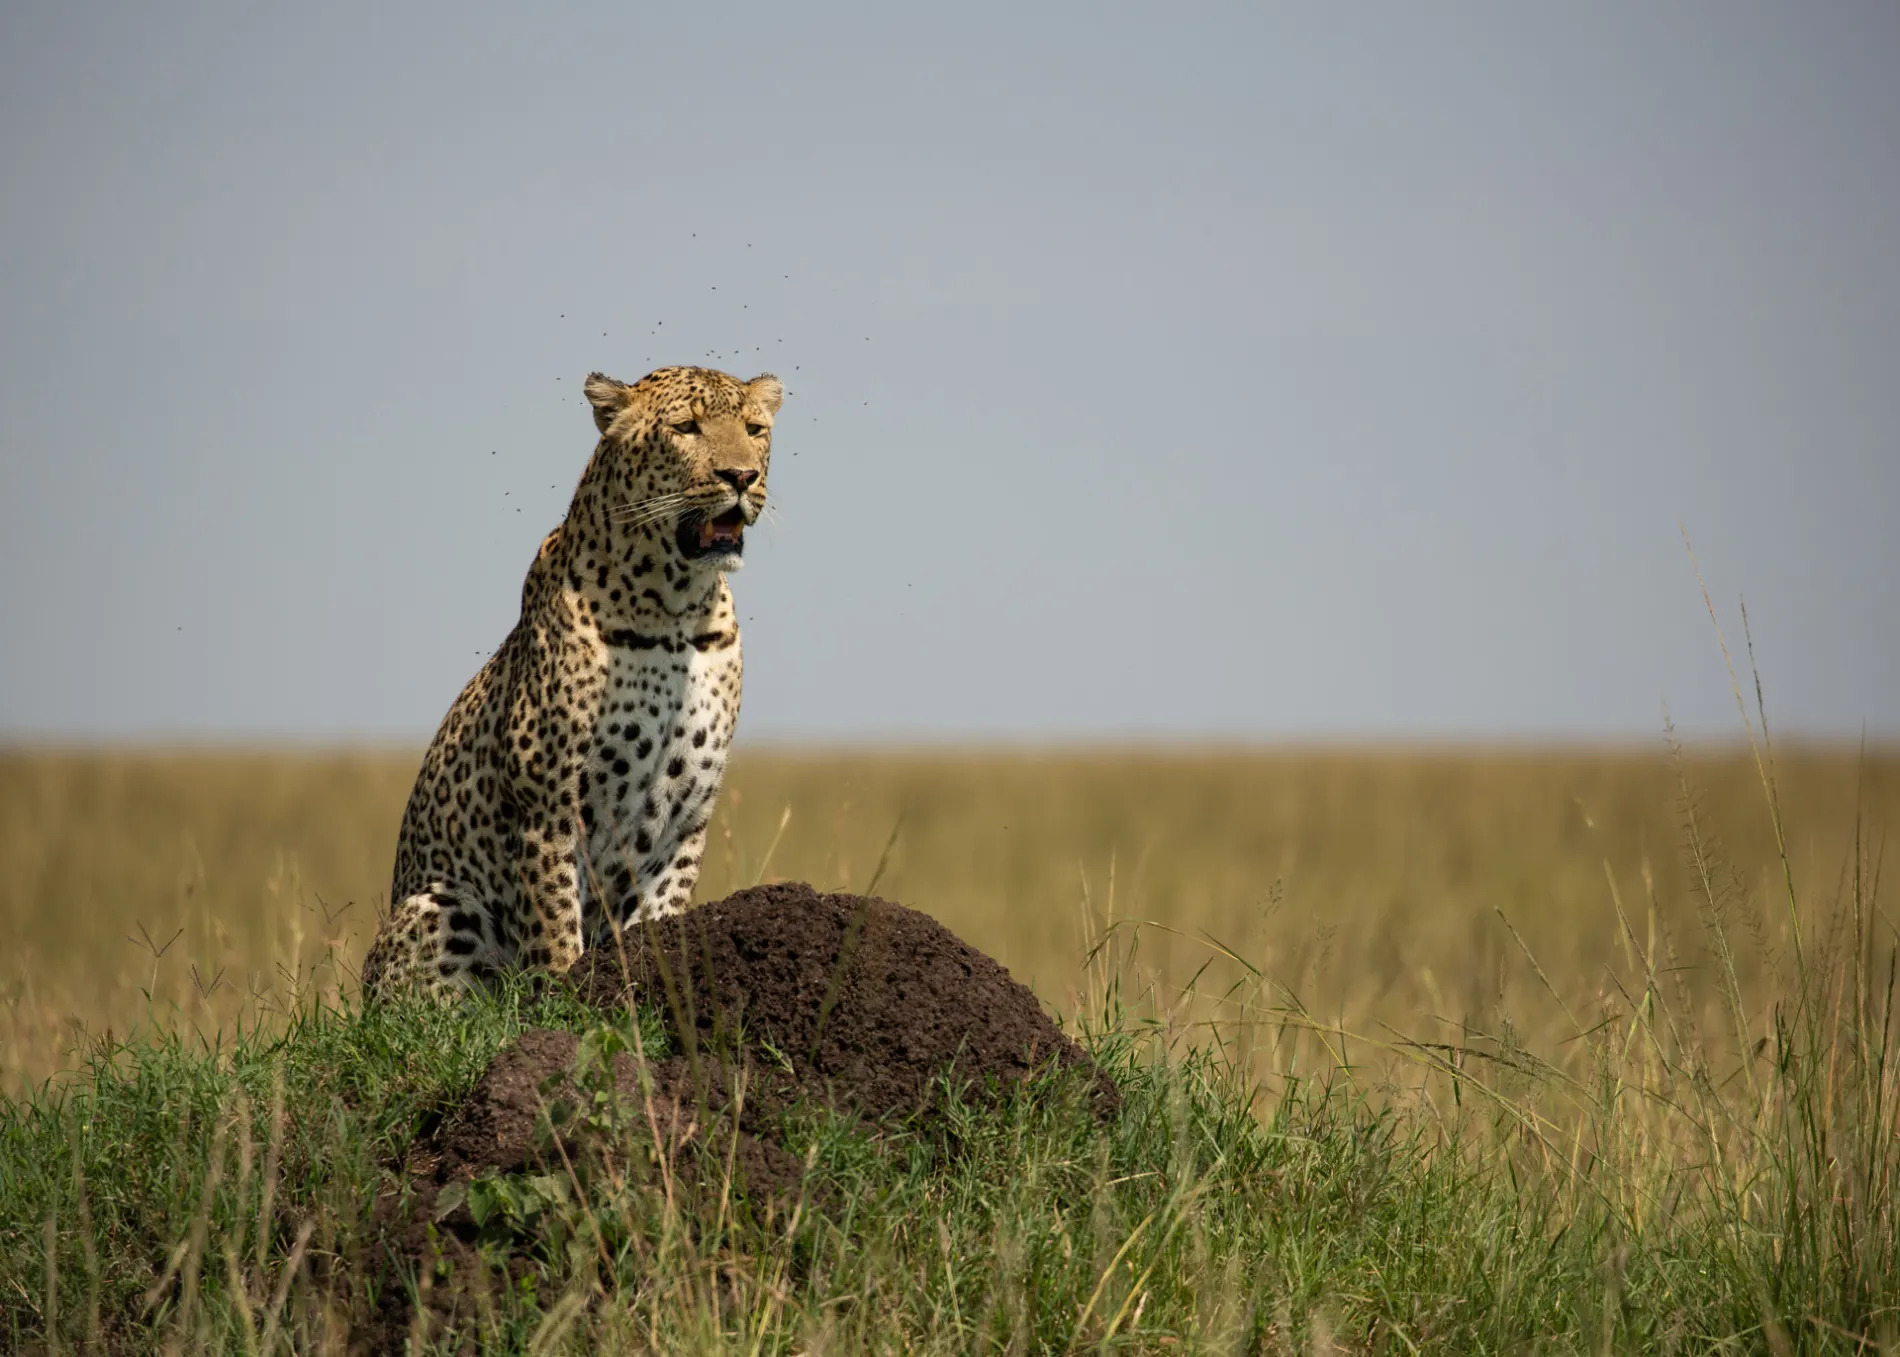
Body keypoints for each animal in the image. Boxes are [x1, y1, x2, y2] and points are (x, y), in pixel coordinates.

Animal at [359, 359, 782, 995]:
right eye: (686, 428)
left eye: (755, 429)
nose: (741, 475)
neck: (675, 609)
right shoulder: (548, 807)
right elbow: (556, 927)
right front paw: (567, 997)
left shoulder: (685, 821)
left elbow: (660, 919)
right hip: (438, 904)